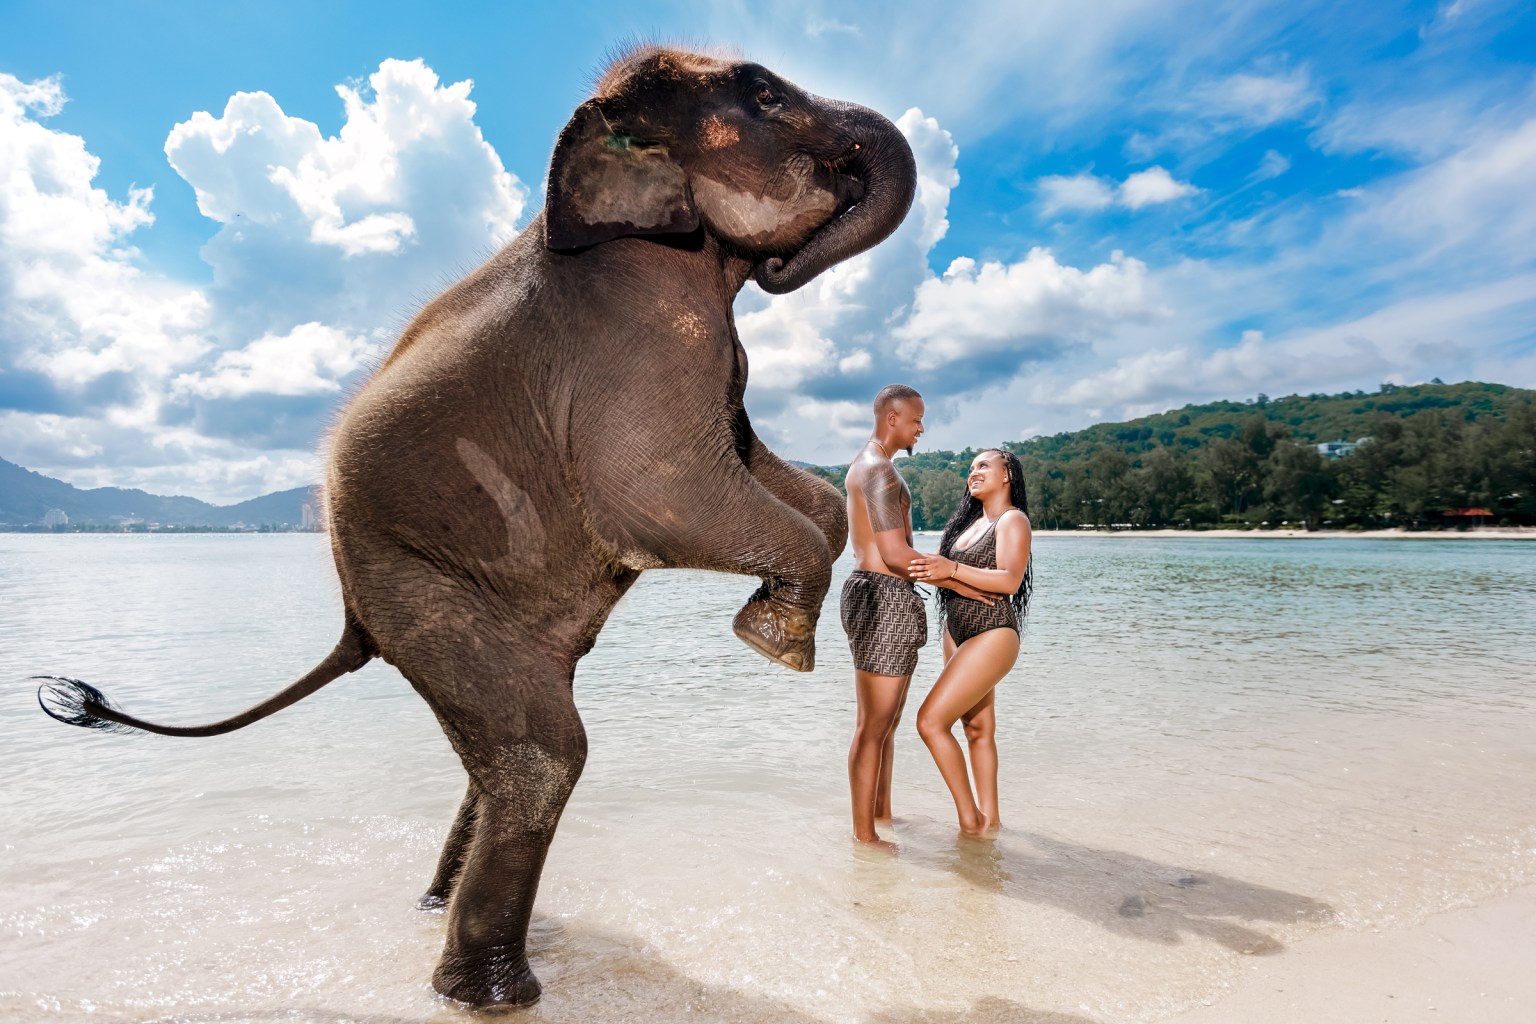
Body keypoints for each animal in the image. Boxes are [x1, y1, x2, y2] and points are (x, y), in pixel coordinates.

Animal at [36, 45, 918, 1007]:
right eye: (764, 93)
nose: (785, 264)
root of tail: (351, 621)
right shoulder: (640, 332)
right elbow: (653, 495)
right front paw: (776, 642)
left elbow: (774, 478)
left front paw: (775, 618)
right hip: (415, 589)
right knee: (543, 752)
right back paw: (492, 993)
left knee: (496, 756)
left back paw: (441, 918)